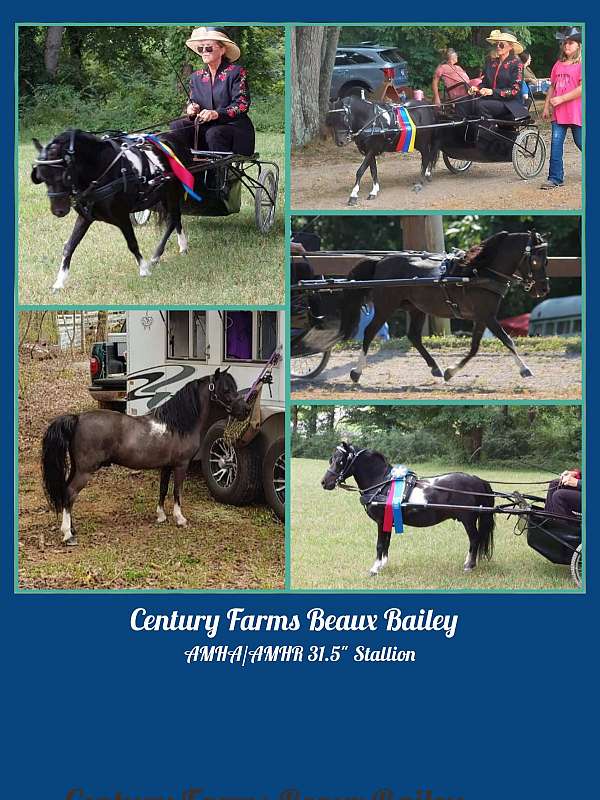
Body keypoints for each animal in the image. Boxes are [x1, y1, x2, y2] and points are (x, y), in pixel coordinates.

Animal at [31, 128, 189, 290]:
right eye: (41, 177)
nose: (58, 211)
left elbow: (132, 243)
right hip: (163, 195)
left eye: (64, 177)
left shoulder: (122, 216)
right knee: (175, 218)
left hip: (172, 193)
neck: (103, 171)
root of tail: (170, 137)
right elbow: (69, 246)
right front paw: (59, 281)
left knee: (173, 219)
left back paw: (159, 254)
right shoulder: (85, 217)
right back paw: (181, 246)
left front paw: (144, 270)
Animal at [41, 369, 248, 545]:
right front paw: (179, 518)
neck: (177, 425)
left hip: (77, 468)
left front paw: (161, 516)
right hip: (85, 471)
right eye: (226, 389)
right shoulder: (181, 465)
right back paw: (68, 535)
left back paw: (72, 529)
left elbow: (163, 489)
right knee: (70, 493)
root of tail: (77, 418)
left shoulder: (167, 466)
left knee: (67, 493)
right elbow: (177, 491)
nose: (245, 410)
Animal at [321, 442, 495, 575]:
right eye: (331, 459)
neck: (382, 484)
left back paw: (469, 566)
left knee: (474, 539)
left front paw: (375, 569)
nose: (324, 482)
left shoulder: (380, 521)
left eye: (340, 461)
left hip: (468, 520)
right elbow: (386, 543)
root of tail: (478, 480)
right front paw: (383, 564)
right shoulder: (387, 520)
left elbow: (379, 544)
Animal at [339, 230, 549, 384]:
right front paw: (524, 369)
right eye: (536, 260)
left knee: (413, 336)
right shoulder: (488, 317)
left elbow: (474, 348)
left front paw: (450, 371)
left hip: (417, 309)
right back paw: (356, 372)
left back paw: (435, 368)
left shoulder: (482, 317)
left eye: (547, 260)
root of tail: (380, 261)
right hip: (385, 307)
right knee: (369, 332)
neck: (479, 273)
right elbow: (507, 340)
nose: (544, 289)